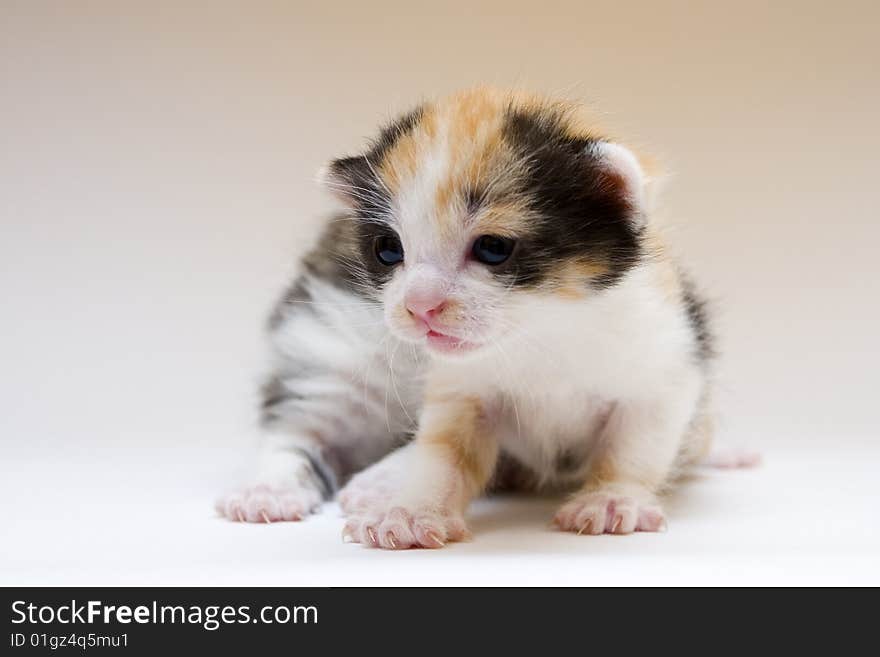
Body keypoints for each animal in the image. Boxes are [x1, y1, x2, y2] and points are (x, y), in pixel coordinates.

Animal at [215, 88, 720, 548]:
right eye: (388, 250)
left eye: (493, 248)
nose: (419, 306)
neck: (543, 333)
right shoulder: (431, 386)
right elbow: (437, 456)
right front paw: (408, 512)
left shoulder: (663, 370)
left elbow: (635, 448)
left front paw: (613, 500)